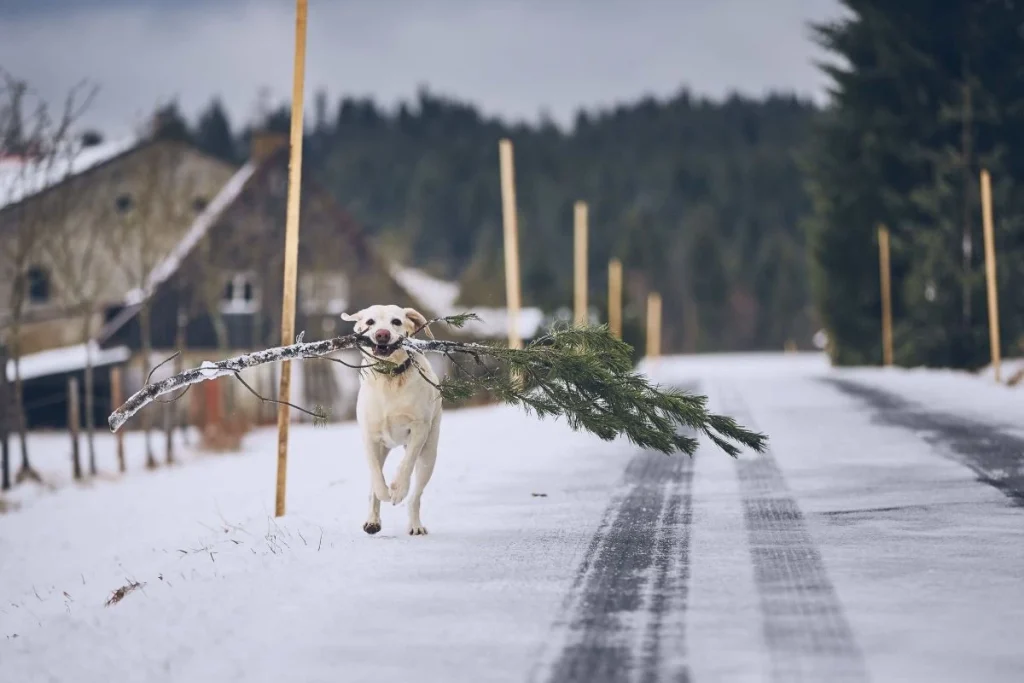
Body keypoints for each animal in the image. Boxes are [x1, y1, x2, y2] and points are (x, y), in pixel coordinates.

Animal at [342, 303, 442, 532]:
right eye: (370, 322)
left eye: (396, 321)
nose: (382, 334)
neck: (390, 377)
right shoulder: (369, 436)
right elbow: (376, 475)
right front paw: (385, 492)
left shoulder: (419, 429)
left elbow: (406, 464)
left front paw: (397, 491)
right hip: (383, 448)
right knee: (374, 481)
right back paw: (372, 521)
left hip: (429, 455)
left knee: (416, 495)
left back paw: (415, 525)